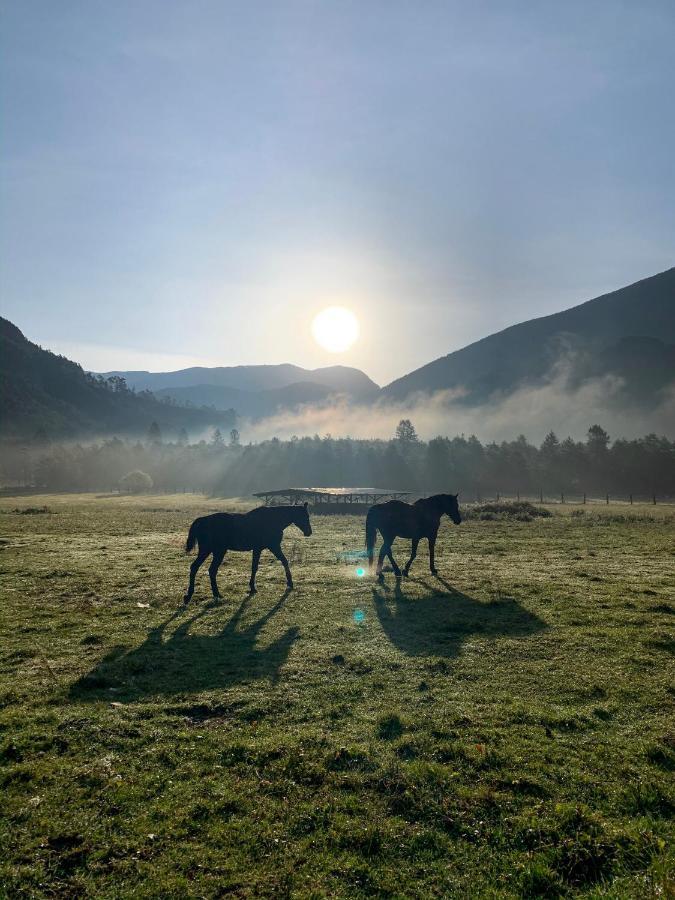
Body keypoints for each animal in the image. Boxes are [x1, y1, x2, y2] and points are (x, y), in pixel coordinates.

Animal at [184, 502, 312, 600]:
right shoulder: (272, 547)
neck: (272, 521)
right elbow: (282, 562)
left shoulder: (260, 549)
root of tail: (202, 520)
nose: (309, 532)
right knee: (206, 569)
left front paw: (252, 587)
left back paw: (193, 595)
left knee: (202, 568)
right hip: (214, 551)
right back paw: (210, 594)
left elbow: (256, 566)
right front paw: (289, 583)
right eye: (305, 516)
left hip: (212, 551)